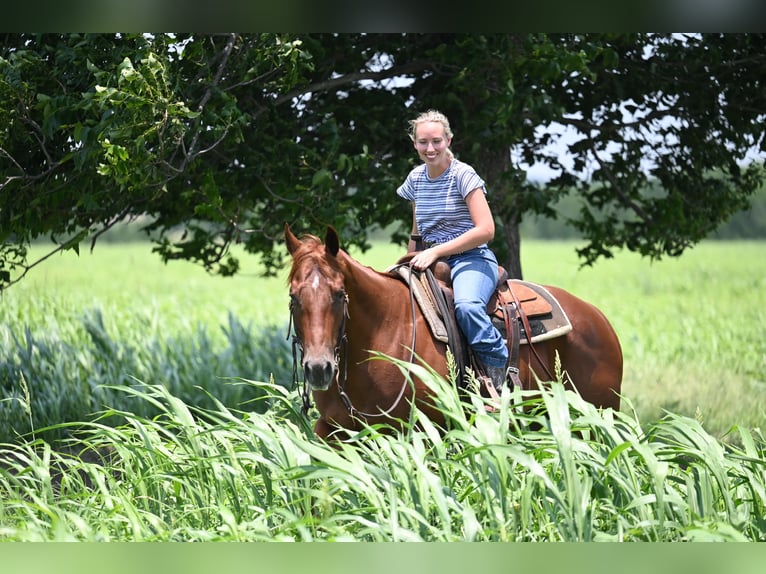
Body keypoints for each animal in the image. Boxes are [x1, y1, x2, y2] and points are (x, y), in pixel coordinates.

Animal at [285, 223, 623, 440]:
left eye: (339, 294)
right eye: (293, 296)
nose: (318, 368)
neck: (381, 332)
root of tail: (598, 319)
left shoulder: (422, 431)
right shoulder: (333, 430)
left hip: (602, 414)